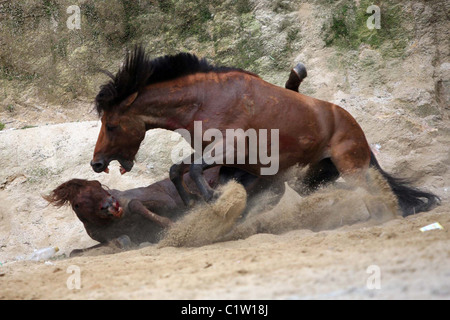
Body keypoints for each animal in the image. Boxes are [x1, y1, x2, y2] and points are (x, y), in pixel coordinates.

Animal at [91, 46, 440, 218]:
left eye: (111, 124)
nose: (96, 163)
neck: (206, 98)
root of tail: (355, 127)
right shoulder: (216, 153)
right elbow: (178, 168)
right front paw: (194, 203)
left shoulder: (230, 148)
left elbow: (193, 169)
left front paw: (213, 199)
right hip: (314, 177)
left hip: (352, 166)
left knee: (371, 190)